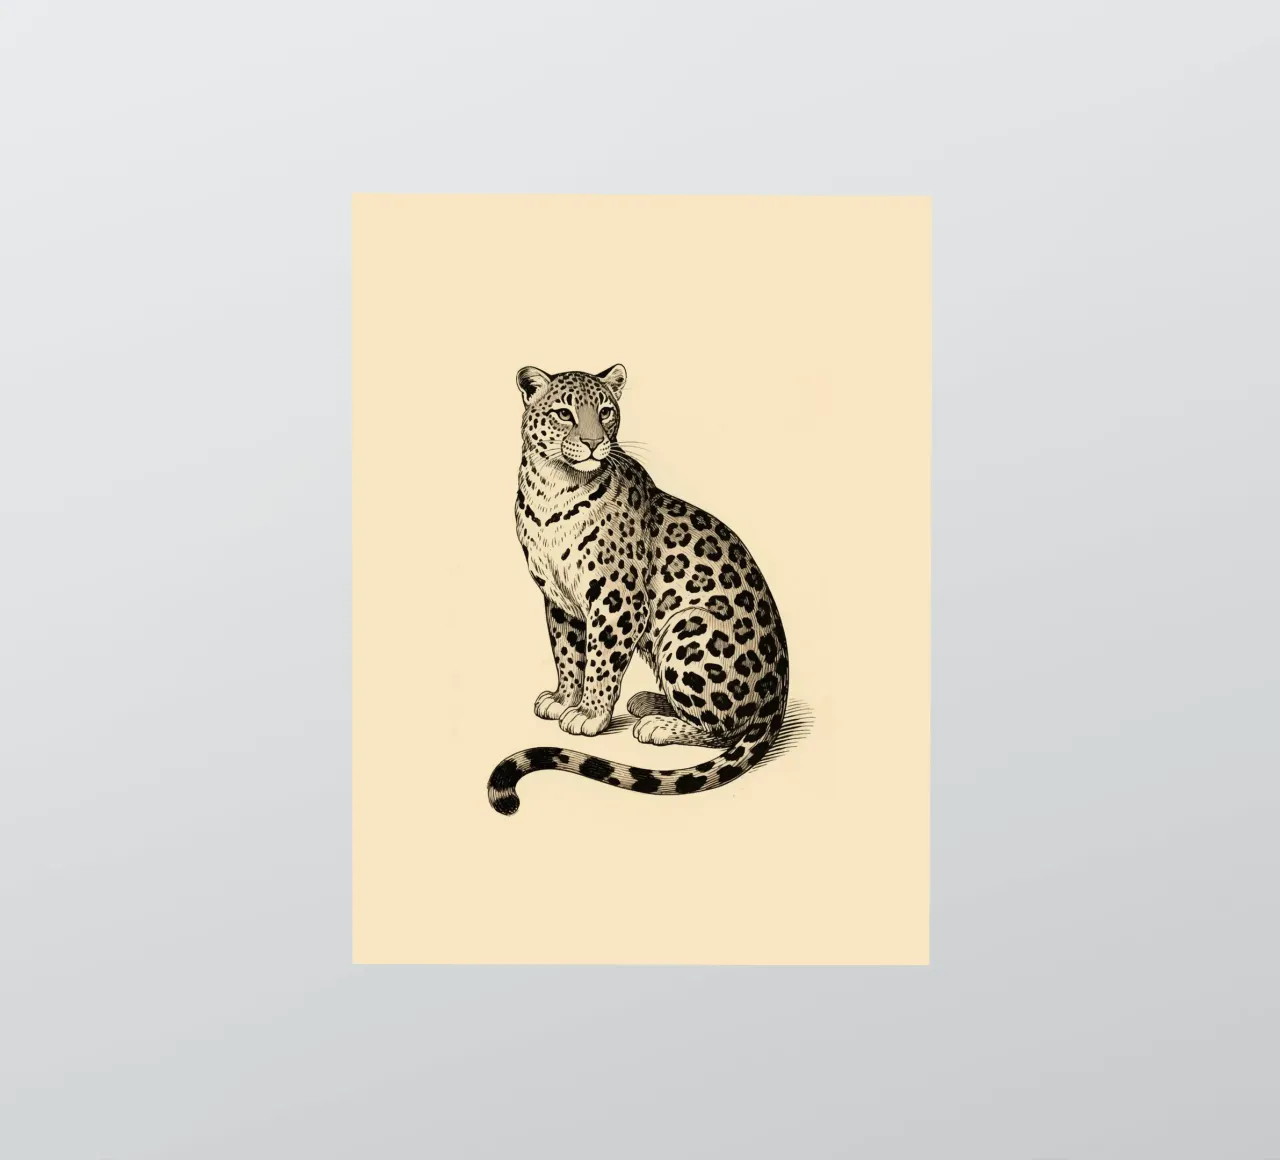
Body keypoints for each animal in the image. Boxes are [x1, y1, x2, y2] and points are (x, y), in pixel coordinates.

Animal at [487, 364, 790, 815]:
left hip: (689, 630)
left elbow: (601, 661)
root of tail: (779, 697)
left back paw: (657, 725)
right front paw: (564, 698)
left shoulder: (619, 600)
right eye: (564, 413)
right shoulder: (558, 600)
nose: (594, 443)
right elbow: (567, 654)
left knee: (725, 728)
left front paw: (589, 714)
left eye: (606, 411)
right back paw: (649, 701)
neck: (552, 488)